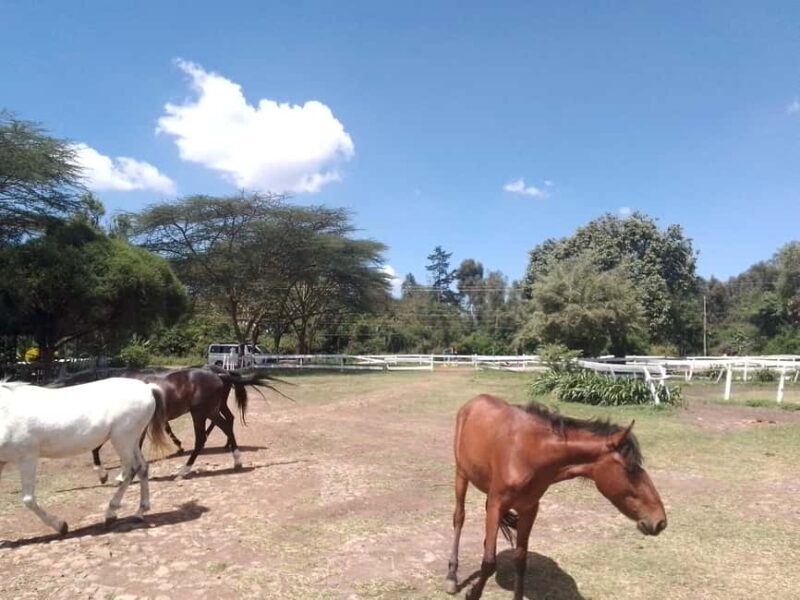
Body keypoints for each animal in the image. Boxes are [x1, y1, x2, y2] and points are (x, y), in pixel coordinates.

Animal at [0, 378, 171, 536]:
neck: (6, 413)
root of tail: (147, 388)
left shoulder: (27, 458)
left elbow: (28, 499)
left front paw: (61, 526)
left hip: (123, 440)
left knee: (131, 471)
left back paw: (111, 514)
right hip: (132, 442)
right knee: (142, 468)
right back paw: (139, 512)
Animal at [91, 367, 275, 481]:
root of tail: (219, 375)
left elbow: (98, 447)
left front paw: (104, 474)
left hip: (200, 413)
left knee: (202, 439)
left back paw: (184, 470)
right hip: (211, 411)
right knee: (227, 425)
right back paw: (236, 461)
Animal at [445, 394, 667, 600]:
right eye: (629, 469)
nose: (660, 521)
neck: (530, 451)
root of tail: (474, 401)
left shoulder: (529, 509)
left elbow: (520, 560)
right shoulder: (496, 504)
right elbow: (489, 562)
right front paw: (471, 593)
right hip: (461, 475)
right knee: (459, 518)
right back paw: (452, 577)